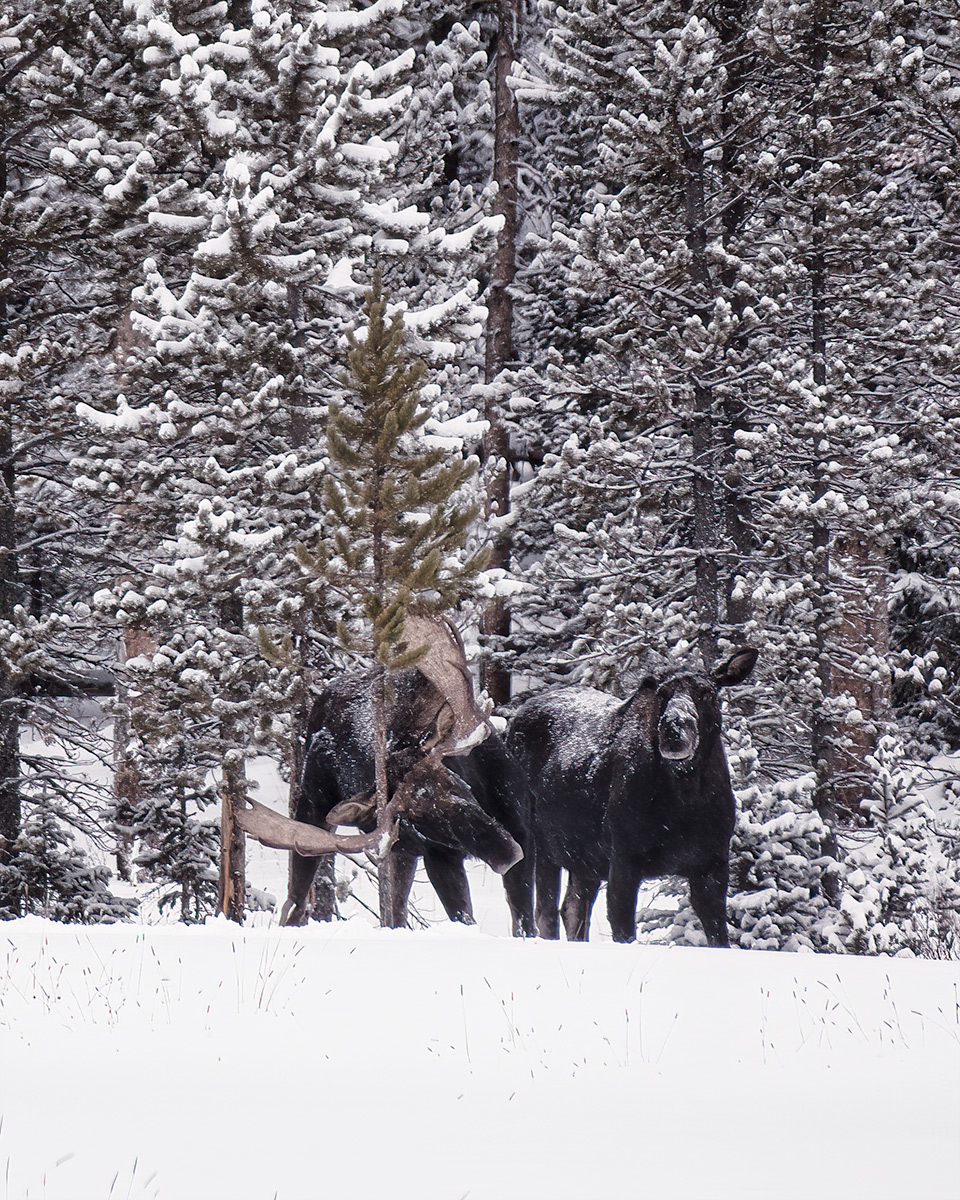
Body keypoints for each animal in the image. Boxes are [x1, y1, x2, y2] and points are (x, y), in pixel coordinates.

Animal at [237, 619, 535, 936]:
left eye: (454, 780)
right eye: (415, 817)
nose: (504, 852)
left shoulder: (523, 830)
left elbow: (524, 921)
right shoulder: (438, 855)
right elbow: (463, 917)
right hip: (316, 805)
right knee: (300, 894)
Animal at [506, 648, 763, 945]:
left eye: (708, 692)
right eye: (662, 693)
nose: (674, 728)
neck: (685, 798)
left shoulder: (712, 863)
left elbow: (719, 937)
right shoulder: (624, 859)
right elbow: (624, 931)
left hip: (582, 859)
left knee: (570, 910)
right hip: (534, 841)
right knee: (532, 910)